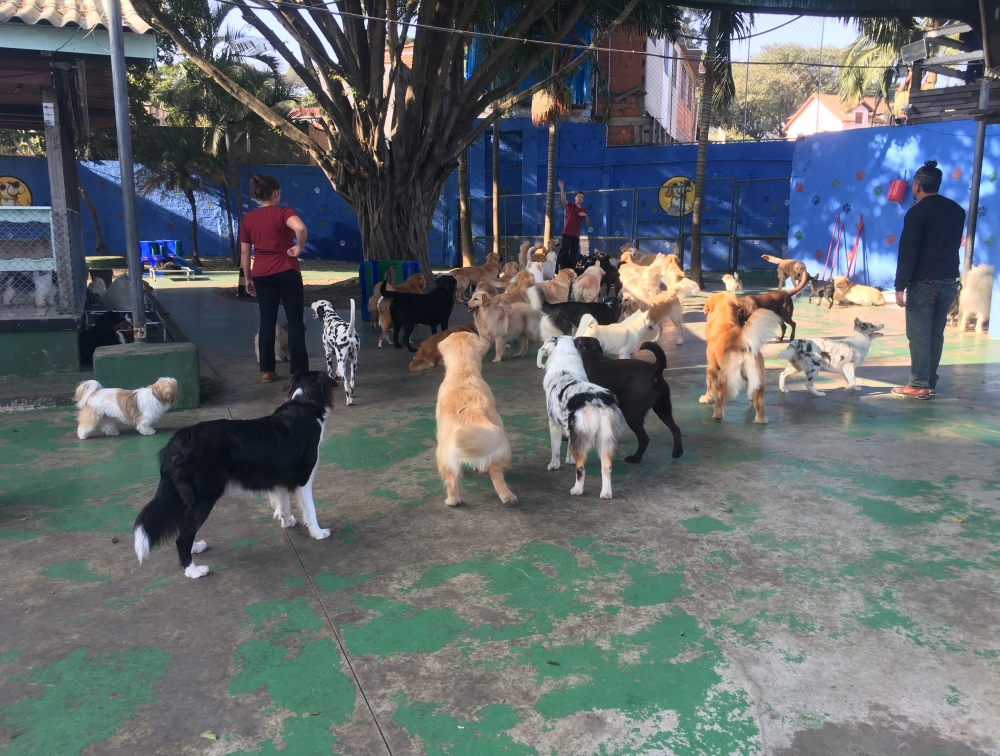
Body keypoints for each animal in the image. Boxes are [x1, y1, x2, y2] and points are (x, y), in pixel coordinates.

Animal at [133, 372, 340, 580]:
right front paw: (318, 533)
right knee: (182, 538)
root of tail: (174, 444)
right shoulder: (304, 479)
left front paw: (287, 522)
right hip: (204, 497)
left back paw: (195, 548)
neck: (304, 402)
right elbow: (310, 509)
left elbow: (284, 504)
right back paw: (194, 571)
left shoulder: (280, 478)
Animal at [436, 334, 520, 504]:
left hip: (443, 456)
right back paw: (508, 497)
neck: (464, 371)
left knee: (452, 482)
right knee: (497, 476)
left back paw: (451, 502)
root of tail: (472, 412)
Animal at [696, 294, 780, 426]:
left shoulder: (712, 368)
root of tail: (739, 341)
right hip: (758, 379)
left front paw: (706, 398)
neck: (726, 322)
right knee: (760, 404)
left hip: (724, 378)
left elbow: (709, 387)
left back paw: (717, 416)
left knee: (720, 399)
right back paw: (760, 420)